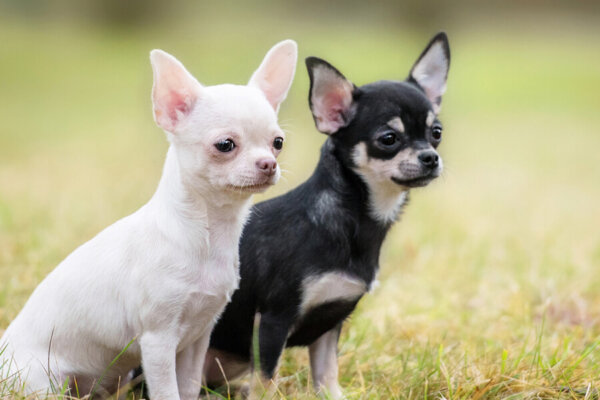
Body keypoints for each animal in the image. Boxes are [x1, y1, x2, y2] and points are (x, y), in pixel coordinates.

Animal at [1, 39, 296, 400]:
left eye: (278, 143)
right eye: (225, 145)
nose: (269, 163)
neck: (208, 233)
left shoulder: (197, 338)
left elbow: (189, 386)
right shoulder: (158, 340)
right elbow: (168, 391)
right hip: (43, 382)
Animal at [205, 32, 450, 398]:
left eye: (436, 133)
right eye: (388, 139)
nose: (430, 158)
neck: (351, 218)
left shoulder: (330, 324)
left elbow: (327, 375)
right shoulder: (274, 320)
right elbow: (266, 379)